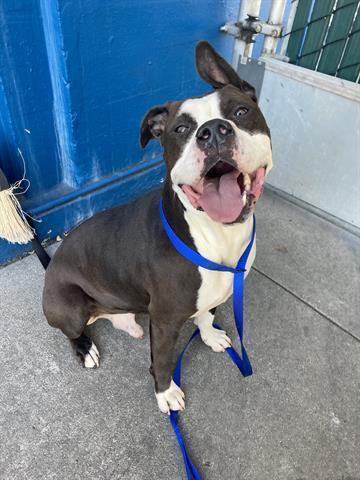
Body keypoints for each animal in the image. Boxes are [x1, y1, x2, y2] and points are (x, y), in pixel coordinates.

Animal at [42, 42, 272, 412]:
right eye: (181, 130)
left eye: (240, 112)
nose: (213, 131)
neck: (215, 235)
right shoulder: (165, 322)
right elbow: (163, 361)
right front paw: (166, 393)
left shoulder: (211, 295)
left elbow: (204, 315)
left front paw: (209, 334)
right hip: (69, 306)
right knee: (72, 330)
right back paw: (84, 348)